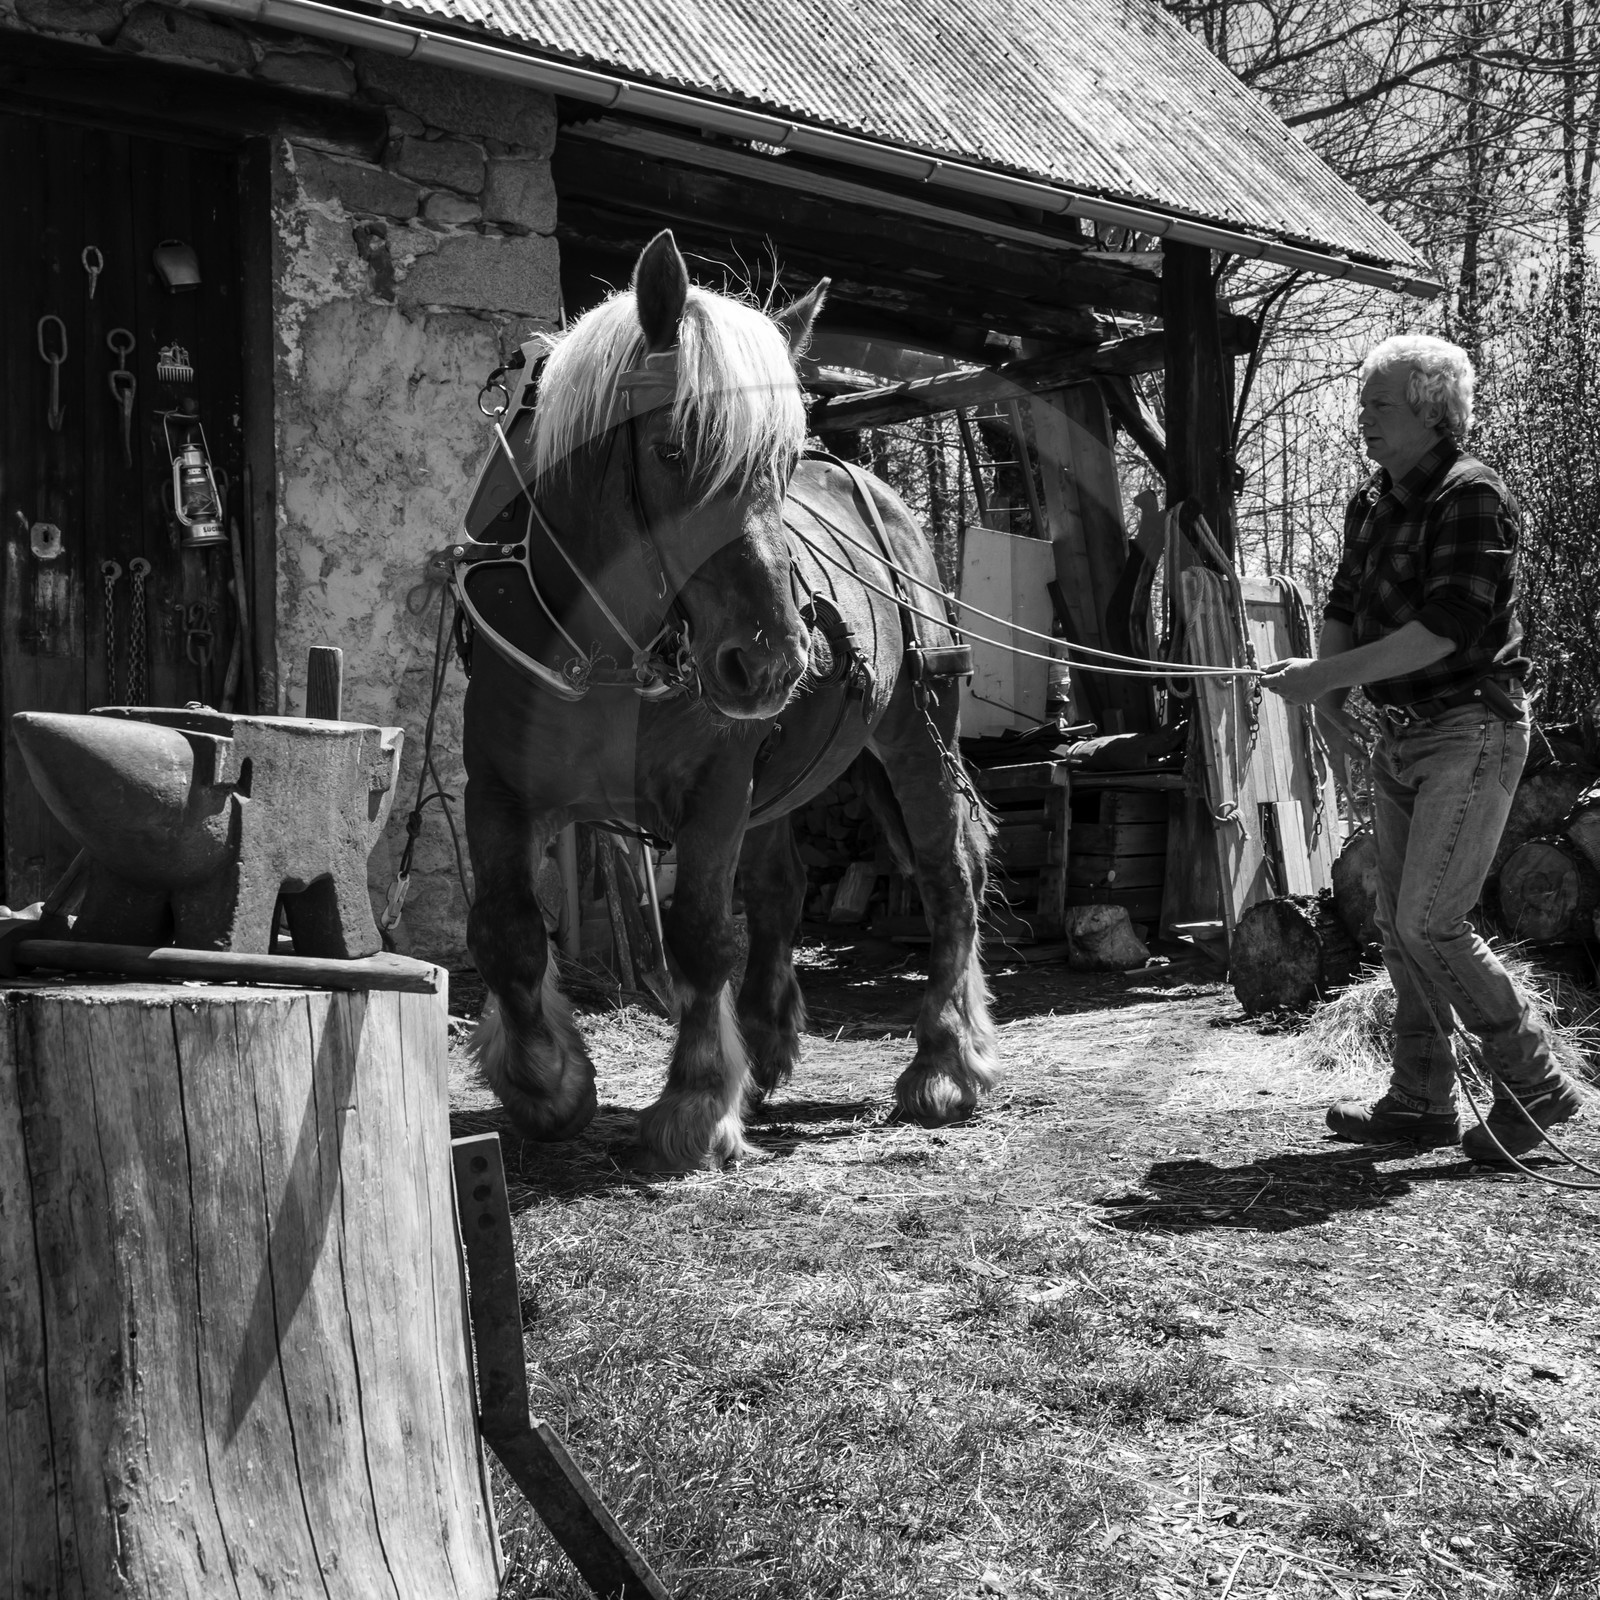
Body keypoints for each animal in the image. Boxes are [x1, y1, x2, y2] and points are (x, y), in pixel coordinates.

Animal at [460, 229, 997, 1171]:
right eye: (672, 449)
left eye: (779, 464)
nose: (773, 660)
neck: (606, 645)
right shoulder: (496, 787)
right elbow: (508, 930)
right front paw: (545, 1082)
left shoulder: (714, 788)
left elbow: (703, 935)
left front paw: (698, 1100)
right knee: (782, 888)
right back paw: (771, 1042)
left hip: (915, 736)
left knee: (948, 874)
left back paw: (944, 1061)